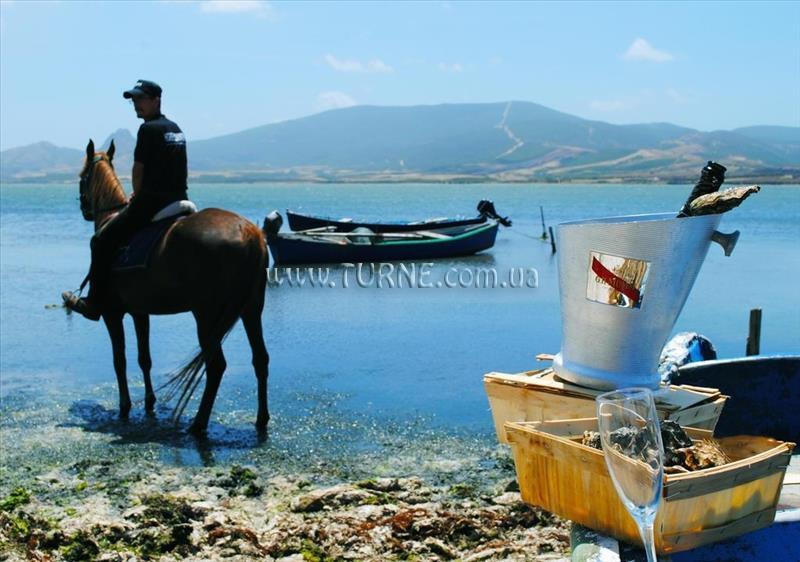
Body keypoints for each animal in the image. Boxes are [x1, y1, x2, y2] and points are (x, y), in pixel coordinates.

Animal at [74, 139, 269, 435]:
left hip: (207, 314)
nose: (84, 210)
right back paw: (261, 420)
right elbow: (144, 358)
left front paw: (125, 406)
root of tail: (251, 233)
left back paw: (199, 424)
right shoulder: (140, 311)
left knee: (216, 365)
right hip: (251, 309)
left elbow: (119, 360)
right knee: (260, 359)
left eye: (81, 178)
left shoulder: (112, 313)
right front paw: (149, 401)